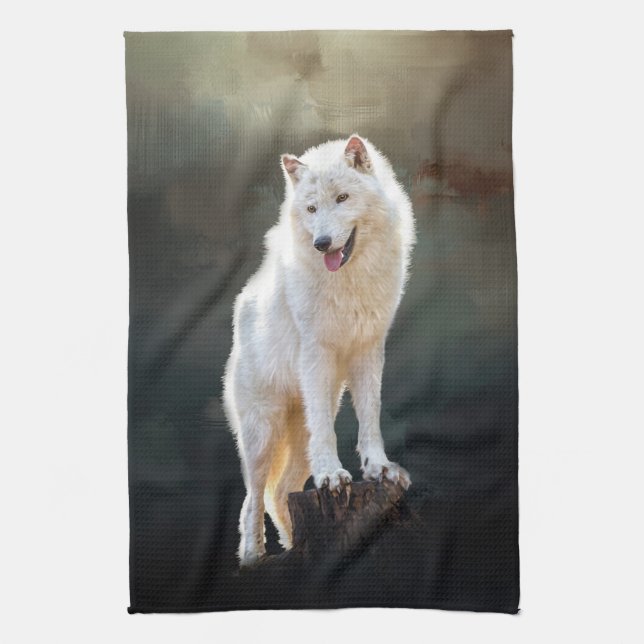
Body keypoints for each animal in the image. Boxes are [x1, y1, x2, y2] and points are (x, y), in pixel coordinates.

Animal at [222, 133, 416, 566]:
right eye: (311, 208)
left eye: (342, 198)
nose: (322, 243)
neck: (349, 282)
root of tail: (241, 305)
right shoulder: (316, 356)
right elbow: (327, 434)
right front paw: (331, 475)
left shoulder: (368, 351)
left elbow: (370, 417)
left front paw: (378, 468)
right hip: (263, 434)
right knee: (251, 500)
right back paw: (252, 558)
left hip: (303, 426)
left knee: (279, 493)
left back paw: (296, 551)